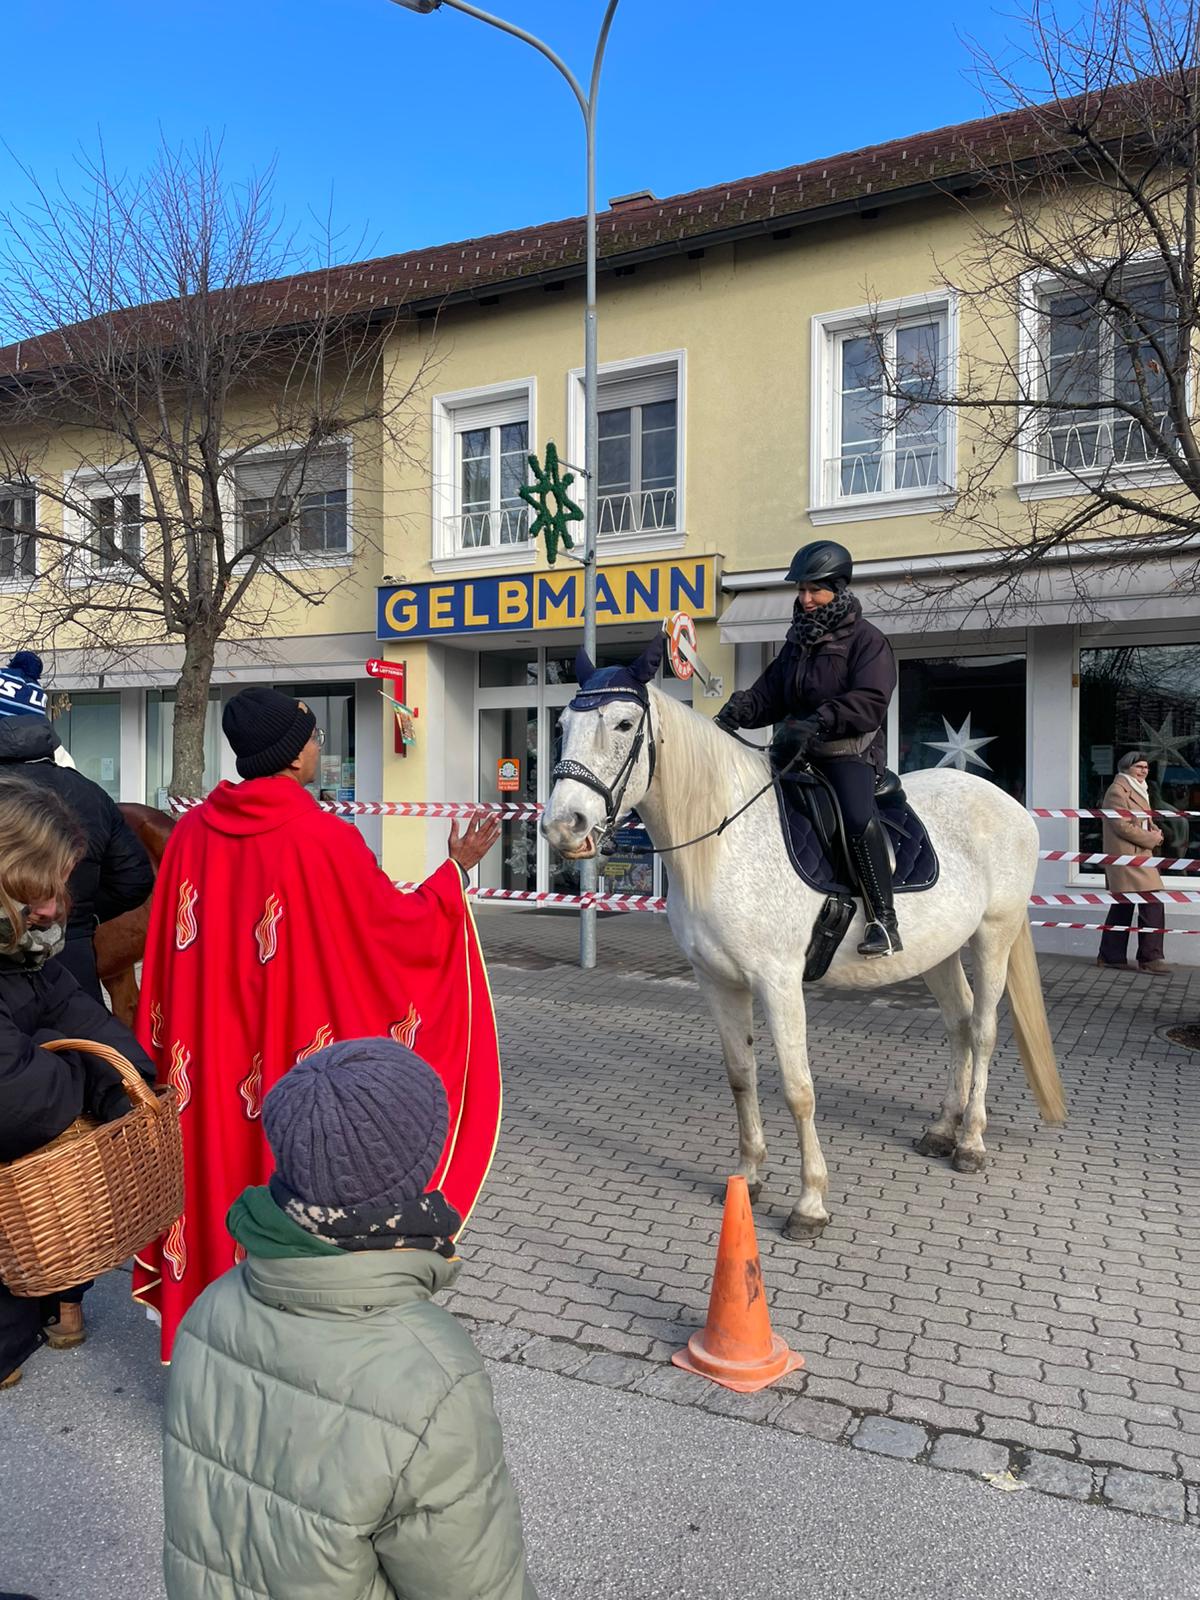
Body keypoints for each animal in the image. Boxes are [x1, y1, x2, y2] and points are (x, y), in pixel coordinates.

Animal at [541, 649, 1065, 1242]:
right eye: (561, 726)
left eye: (625, 725)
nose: (563, 827)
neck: (727, 842)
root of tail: (1008, 804)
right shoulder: (717, 982)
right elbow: (741, 1076)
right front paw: (748, 1176)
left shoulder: (778, 982)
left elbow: (798, 1089)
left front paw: (810, 1203)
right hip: (939, 950)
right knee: (958, 1024)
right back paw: (941, 1129)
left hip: (994, 934)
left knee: (982, 1030)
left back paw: (971, 1142)